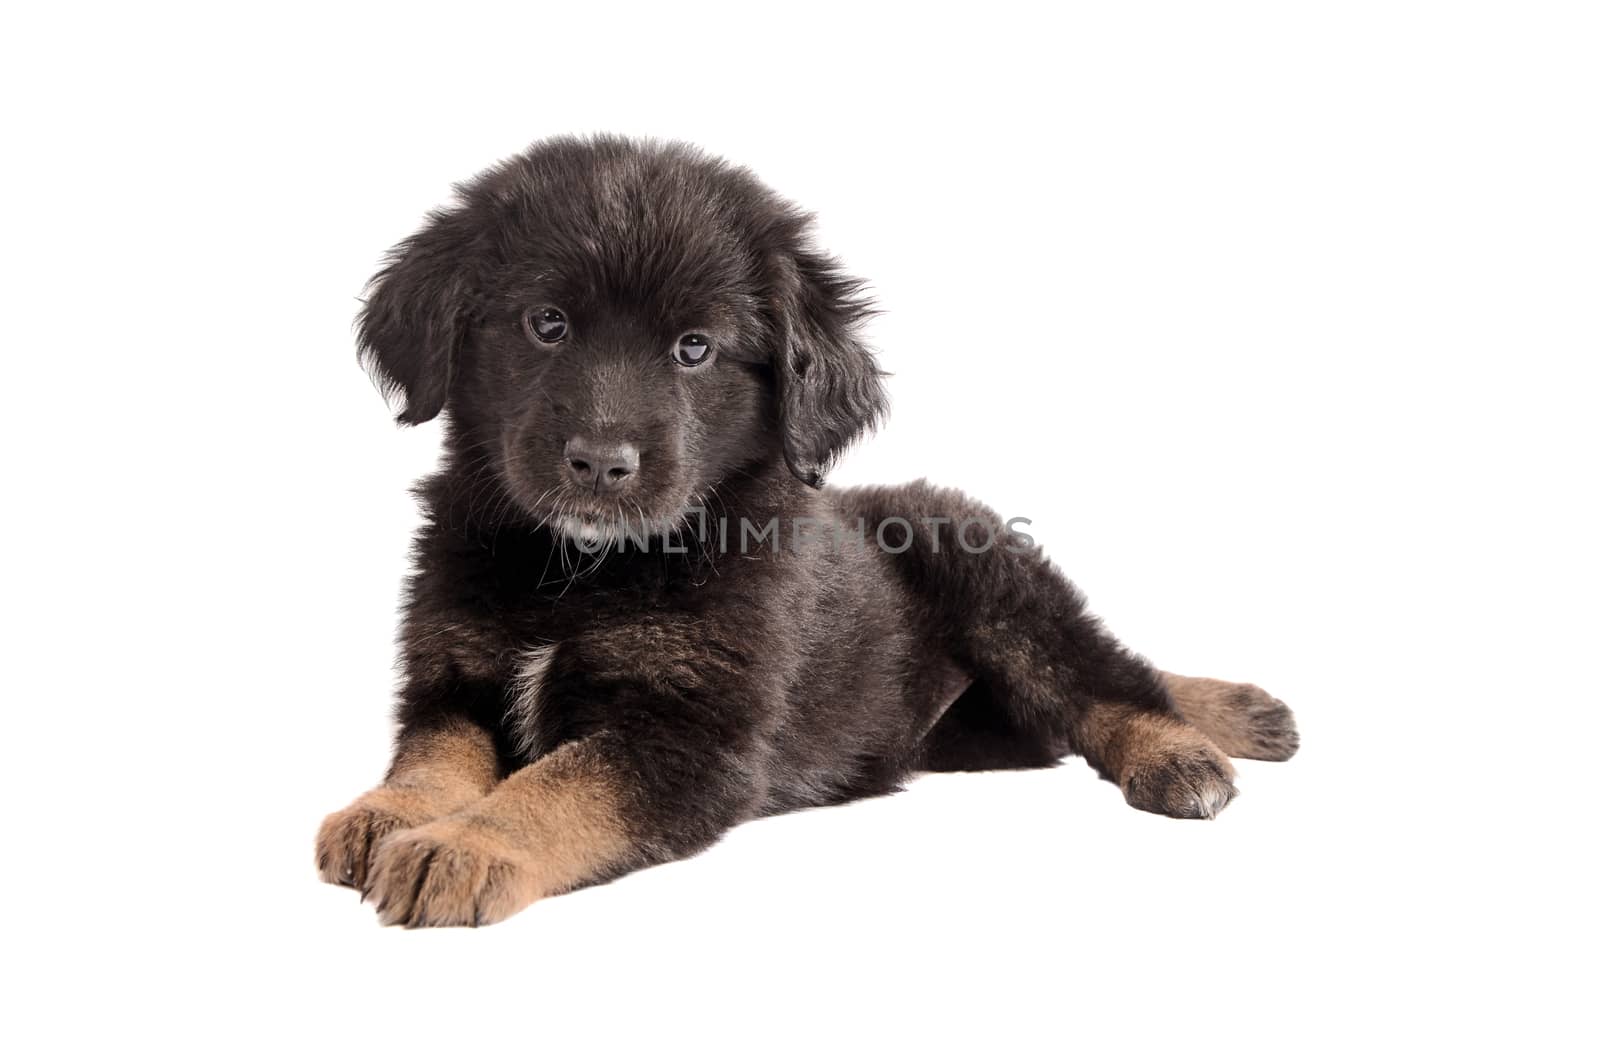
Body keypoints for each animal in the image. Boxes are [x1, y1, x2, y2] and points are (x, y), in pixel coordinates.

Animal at [315, 135, 1299, 928]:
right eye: (545, 324)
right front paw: (387, 813)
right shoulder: (452, 679)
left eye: (695, 348)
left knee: (1106, 676)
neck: (584, 570)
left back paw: (1192, 747)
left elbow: (554, 786)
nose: (599, 463)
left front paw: (467, 845)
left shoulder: (693, 737)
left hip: (1003, 595)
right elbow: (434, 757)